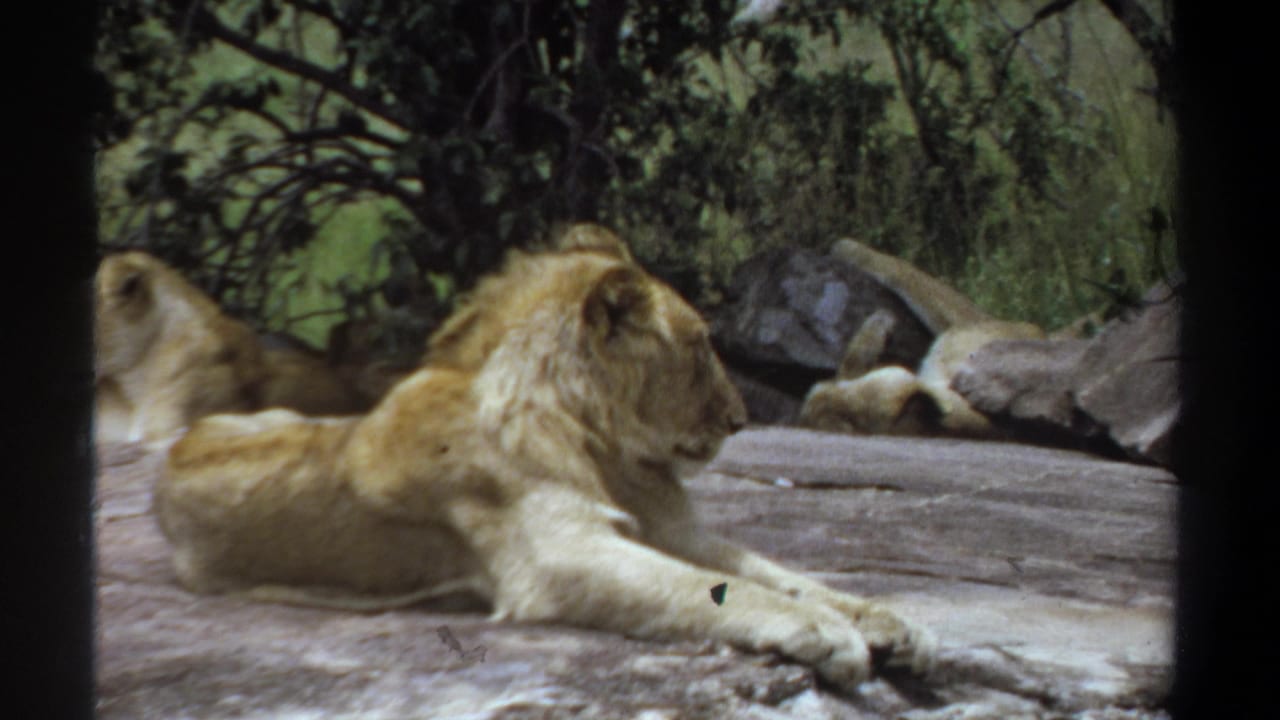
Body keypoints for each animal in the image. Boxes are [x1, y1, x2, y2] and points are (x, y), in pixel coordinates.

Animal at [154, 231, 935, 691]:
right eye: (697, 346)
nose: (740, 420)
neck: (601, 442)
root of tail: (177, 447)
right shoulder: (560, 554)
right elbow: (720, 591)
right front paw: (827, 635)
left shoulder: (672, 531)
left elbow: (778, 574)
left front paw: (888, 622)